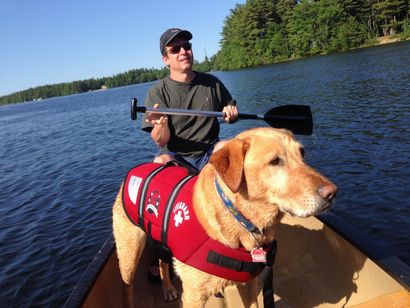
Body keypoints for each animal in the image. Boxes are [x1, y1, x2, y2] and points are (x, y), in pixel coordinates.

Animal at [112, 126, 336, 306]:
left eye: (302, 153)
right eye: (274, 161)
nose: (332, 192)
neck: (241, 220)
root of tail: (136, 170)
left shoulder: (250, 283)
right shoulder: (194, 296)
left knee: (162, 262)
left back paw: (167, 288)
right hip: (129, 252)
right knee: (126, 286)